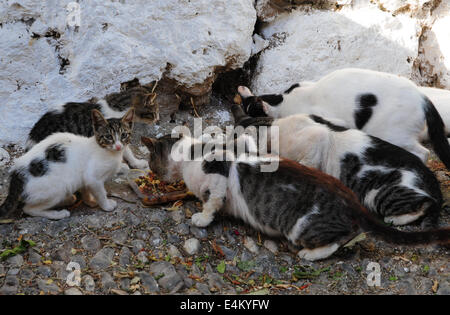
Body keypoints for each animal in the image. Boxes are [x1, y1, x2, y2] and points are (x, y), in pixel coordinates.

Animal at [0, 108, 135, 220]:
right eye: (108, 137)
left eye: (124, 135)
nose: (118, 146)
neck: (108, 152)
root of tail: (17, 173)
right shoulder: (93, 178)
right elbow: (101, 193)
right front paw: (106, 205)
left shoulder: (85, 177)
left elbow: (85, 189)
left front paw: (89, 201)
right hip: (57, 188)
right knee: (28, 209)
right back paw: (58, 214)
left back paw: (68, 199)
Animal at [232, 105, 442, 230]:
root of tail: (433, 180)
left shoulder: (317, 137)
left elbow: (307, 163)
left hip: (379, 193)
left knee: (426, 204)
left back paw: (394, 219)